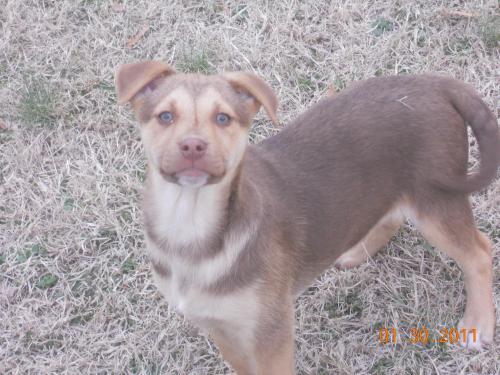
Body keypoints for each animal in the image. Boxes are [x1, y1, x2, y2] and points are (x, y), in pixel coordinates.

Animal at [115, 62, 498, 375]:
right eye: (165, 116)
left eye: (222, 118)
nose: (193, 146)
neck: (191, 228)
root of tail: (435, 83)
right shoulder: (220, 326)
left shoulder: (271, 330)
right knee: (389, 217)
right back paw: (356, 251)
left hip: (436, 199)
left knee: (479, 251)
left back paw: (478, 324)